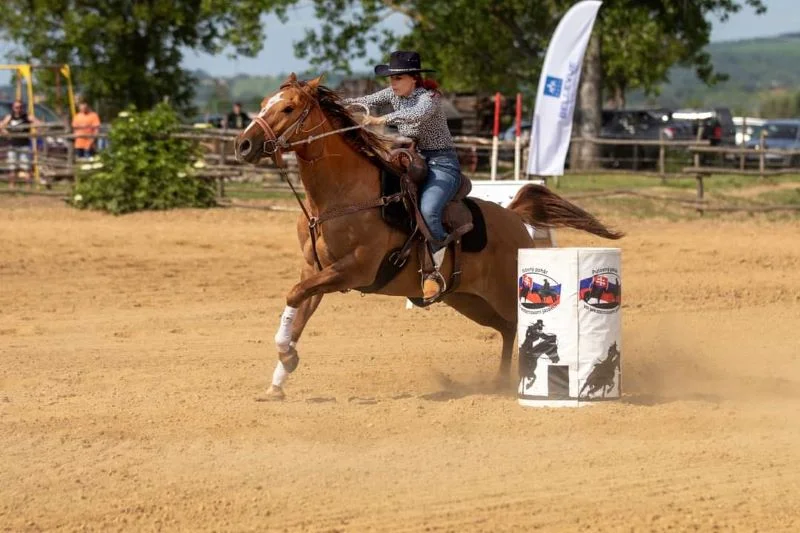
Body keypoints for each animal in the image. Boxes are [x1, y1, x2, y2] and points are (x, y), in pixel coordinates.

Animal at [234, 74, 620, 400]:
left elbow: (295, 295)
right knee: (508, 328)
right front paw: (280, 374)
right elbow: (297, 306)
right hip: (468, 299)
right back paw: (501, 381)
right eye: (265, 102)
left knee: (521, 324)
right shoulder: (314, 269)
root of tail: (513, 217)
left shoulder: (354, 269)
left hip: (503, 292)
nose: (243, 144)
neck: (344, 196)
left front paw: (285, 360)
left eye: (288, 108)